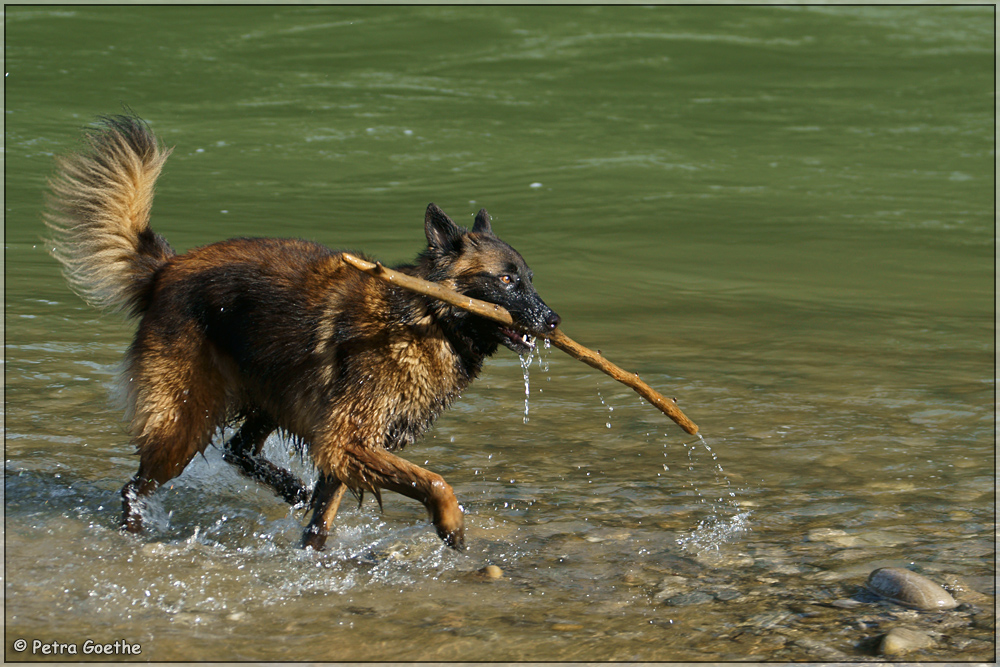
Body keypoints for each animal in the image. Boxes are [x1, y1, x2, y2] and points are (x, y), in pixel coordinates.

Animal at [47, 116, 560, 552]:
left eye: (531, 278)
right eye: (506, 280)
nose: (554, 320)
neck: (423, 317)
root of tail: (165, 270)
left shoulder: (340, 444)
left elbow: (321, 519)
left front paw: (313, 553)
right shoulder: (346, 438)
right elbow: (433, 481)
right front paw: (450, 524)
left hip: (273, 392)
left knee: (237, 450)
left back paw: (290, 486)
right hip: (183, 425)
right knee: (134, 487)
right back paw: (136, 531)